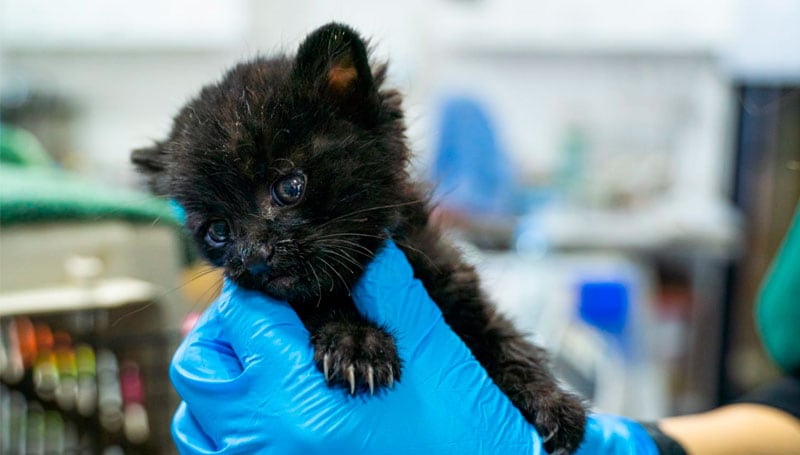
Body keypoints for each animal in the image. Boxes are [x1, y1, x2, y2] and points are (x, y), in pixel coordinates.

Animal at [128, 23, 584, 454]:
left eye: (290, 186)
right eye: (218, 231)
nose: (254, 256)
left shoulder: (452, 279)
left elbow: (501, 336)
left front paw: (551, 400)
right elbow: (320, 302)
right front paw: (356, 343)